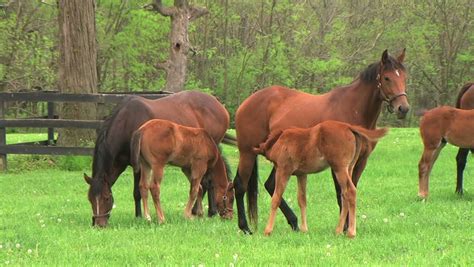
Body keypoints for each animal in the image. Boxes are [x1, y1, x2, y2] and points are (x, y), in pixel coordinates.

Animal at [85, 91, 235, 227]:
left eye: (106, 198)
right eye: (90, 199)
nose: (98, 224)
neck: (127, 121)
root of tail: (217, 102)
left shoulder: (137, 166)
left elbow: (137, 192)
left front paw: (139, 216)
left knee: (207, 182)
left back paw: (207, 211)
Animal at [254, 121, 386, 239]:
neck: (279, 141)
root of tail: (349, 126)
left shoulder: (283, 170)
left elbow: (276, 198)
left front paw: (268, 230)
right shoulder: (302, 174)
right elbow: (302, 200)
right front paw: (304, 229)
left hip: (339, 168)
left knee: (350, 191)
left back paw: (351, 232)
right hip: (349, 168)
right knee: (344, 195)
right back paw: (338, 230)